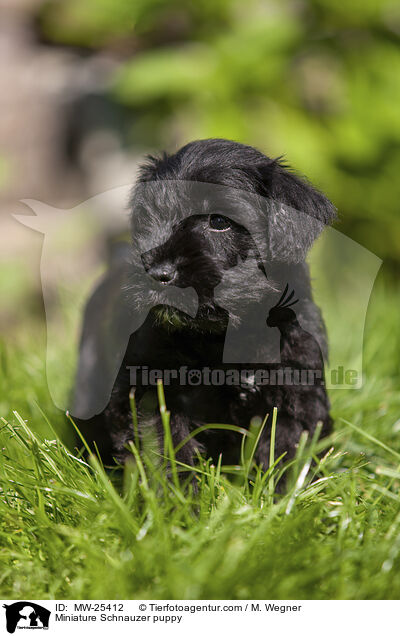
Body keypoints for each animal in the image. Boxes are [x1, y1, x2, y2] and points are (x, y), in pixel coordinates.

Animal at [73, 138, 336, 476]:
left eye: (219, 221)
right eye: (149, 218)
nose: (157, 273)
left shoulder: (295, 389)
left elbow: (289, 451)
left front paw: (284, 490)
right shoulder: (154, 391)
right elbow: (168, 450)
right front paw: (177, 492)